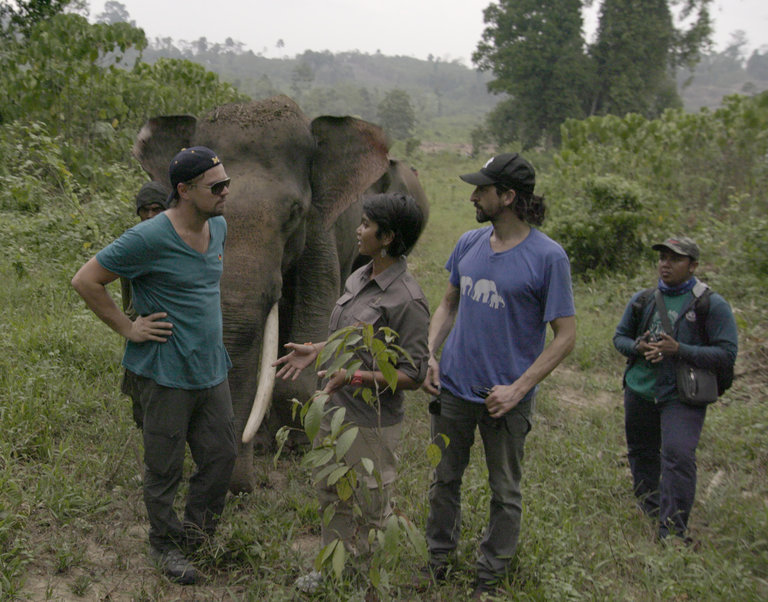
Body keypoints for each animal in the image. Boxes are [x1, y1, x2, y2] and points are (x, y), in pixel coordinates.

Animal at [134, 95, 428, 492]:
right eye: (203, 213)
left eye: (293, 212)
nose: (242, 486)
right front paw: (261, 443)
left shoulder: (319, 231)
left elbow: (315, 315)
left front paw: (297, 445)